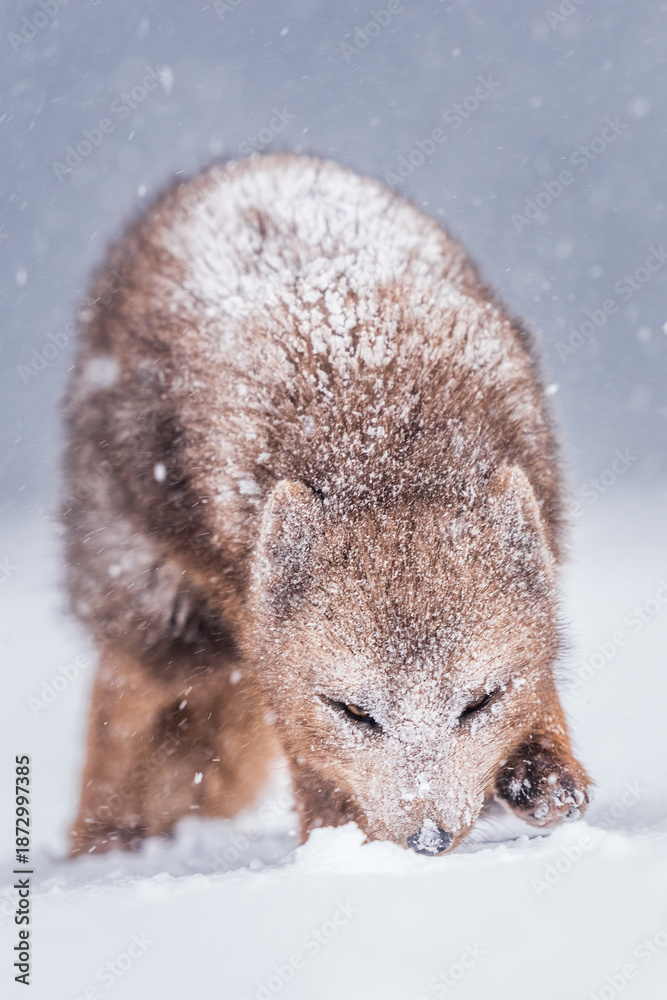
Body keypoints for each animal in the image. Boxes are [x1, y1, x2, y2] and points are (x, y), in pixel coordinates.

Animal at [63, 153, 590, 858]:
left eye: (478, 702)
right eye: (354, 712)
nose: (428, 841)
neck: (384, 434)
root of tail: (251, 162)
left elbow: (541, 685)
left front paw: (542, 769)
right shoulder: (255, 625)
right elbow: (300, 742)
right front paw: (338, 839)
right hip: (164, 623)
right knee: (120, 709)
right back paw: (103, 845)